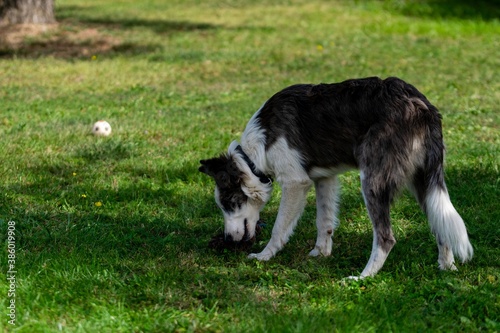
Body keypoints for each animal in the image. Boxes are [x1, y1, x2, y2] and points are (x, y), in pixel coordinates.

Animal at [198, 76, 472, 276]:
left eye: (229, 204)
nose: (227, 240)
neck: (253, 155)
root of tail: (422, 106)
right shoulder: (325, 180)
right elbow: (324, 222)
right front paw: (321, 253)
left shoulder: (296, 183)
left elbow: (279, 228)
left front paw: (264, 256)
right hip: (423, 183)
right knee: (442, 225)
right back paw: (447, 268)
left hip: (372, 181)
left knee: (386, 238)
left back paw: (364, 277)